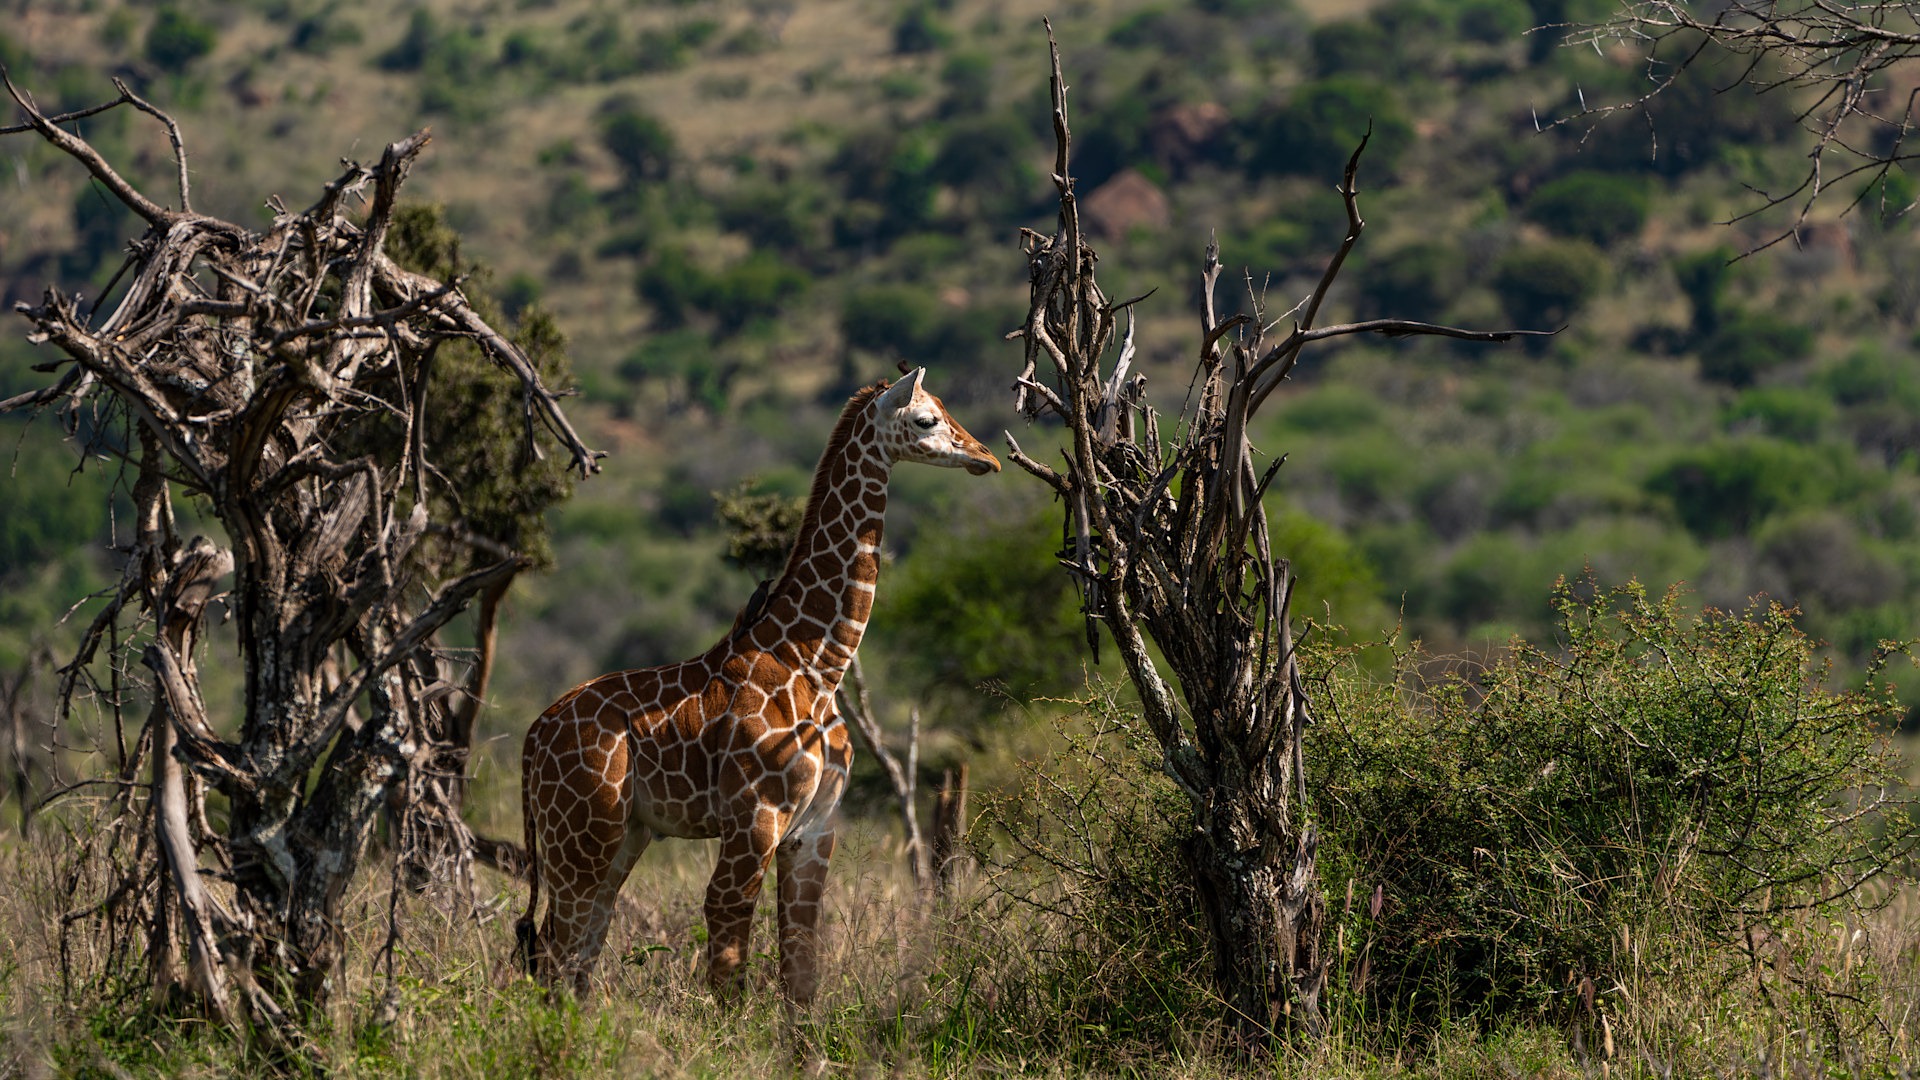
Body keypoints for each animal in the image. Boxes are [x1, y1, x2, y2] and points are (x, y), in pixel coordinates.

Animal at [516, 368, 1000, 1005]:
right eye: (927, 419)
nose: (987, 458)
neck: (816, 662)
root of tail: (531, 741)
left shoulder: (814, 830)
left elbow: (802, 971)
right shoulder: (755, 817)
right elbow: (729, 963)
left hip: (622, 837)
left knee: (578, 952)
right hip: (580, 837)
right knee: (554, 951)